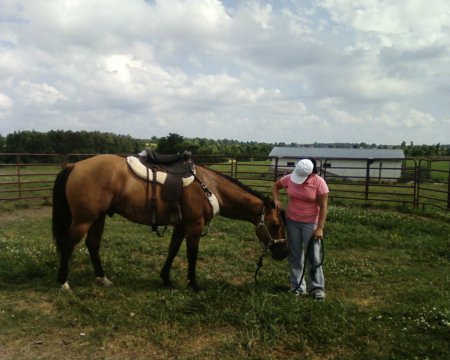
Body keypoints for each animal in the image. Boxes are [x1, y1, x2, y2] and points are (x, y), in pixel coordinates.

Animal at [51, 154, 286, 292]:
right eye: (275, 225)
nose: (283, 253)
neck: (209, 186)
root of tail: (75, 165)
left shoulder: (181, 226)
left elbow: (172, 250)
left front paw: (165, 278)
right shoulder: (194, 226)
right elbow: (192, 255)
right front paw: (194, 284)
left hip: (98, 218)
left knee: (92, 244)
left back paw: (102, 278)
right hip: (84, 219)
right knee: (68, 244)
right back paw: (63, 281)